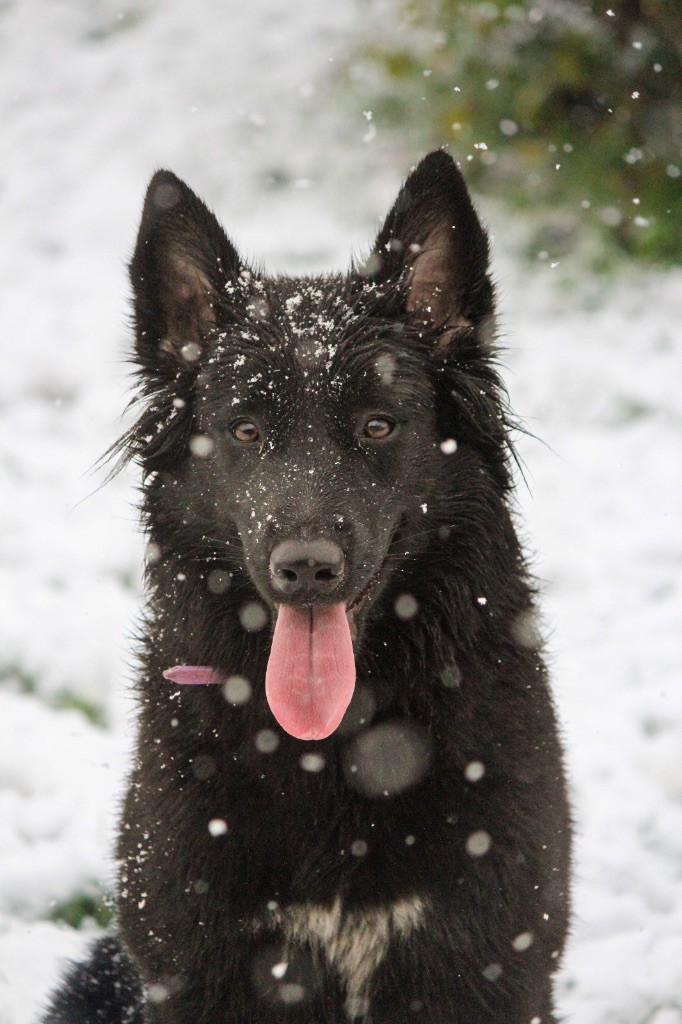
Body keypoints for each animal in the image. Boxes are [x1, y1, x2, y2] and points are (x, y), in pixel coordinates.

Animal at [43, 151, 569, 1024]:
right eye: (248, 430)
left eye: (377, 426)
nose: (307, 567)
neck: (340, 747)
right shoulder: (201, 967)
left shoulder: (486, 966)